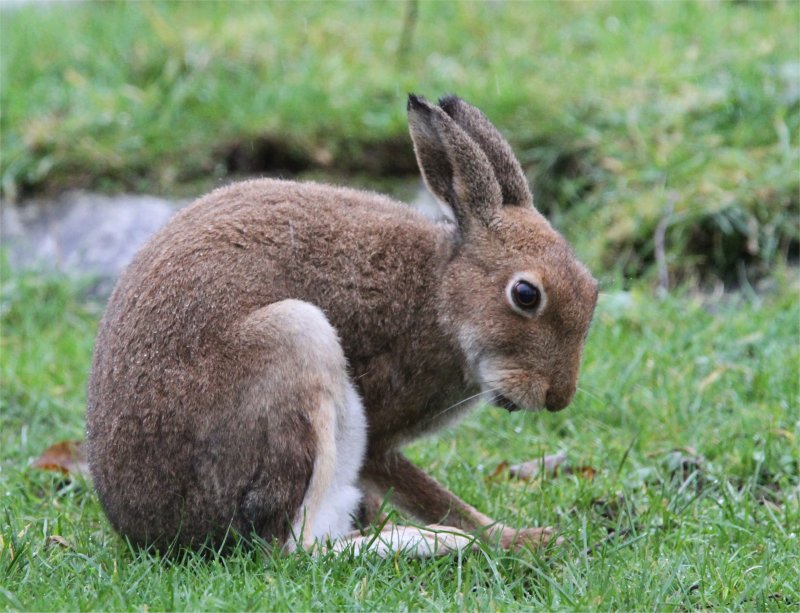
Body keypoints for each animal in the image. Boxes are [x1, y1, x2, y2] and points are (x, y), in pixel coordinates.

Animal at [86, 94, 598, 556]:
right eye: (526, 294)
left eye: (592, 290)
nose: (558, 397)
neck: (440, 297)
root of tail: (149, 529)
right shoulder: (379, 432)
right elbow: (432, 495)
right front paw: (519, 539)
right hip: (296, 342)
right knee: (292, 548)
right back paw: (432, 542)